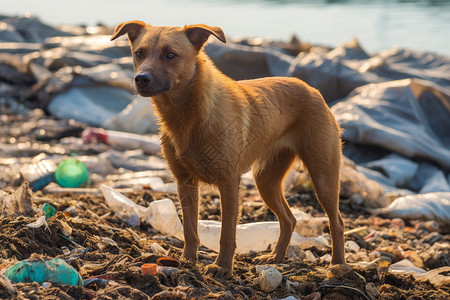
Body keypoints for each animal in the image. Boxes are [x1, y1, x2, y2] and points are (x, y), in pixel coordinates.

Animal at [111, 21, 344, 278]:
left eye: (170, 55)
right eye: (138, 53)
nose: (141, 78)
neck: (191, 115)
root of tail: (312, 89)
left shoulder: (229, 182)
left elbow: (227, 233)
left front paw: (222, 266)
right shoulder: (185, 183)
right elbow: (190, 230)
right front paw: (188, 261)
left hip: (323, 176)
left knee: (337, 222)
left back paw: (338, 265)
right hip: (266, 180)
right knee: (289, 219)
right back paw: (276, 256)